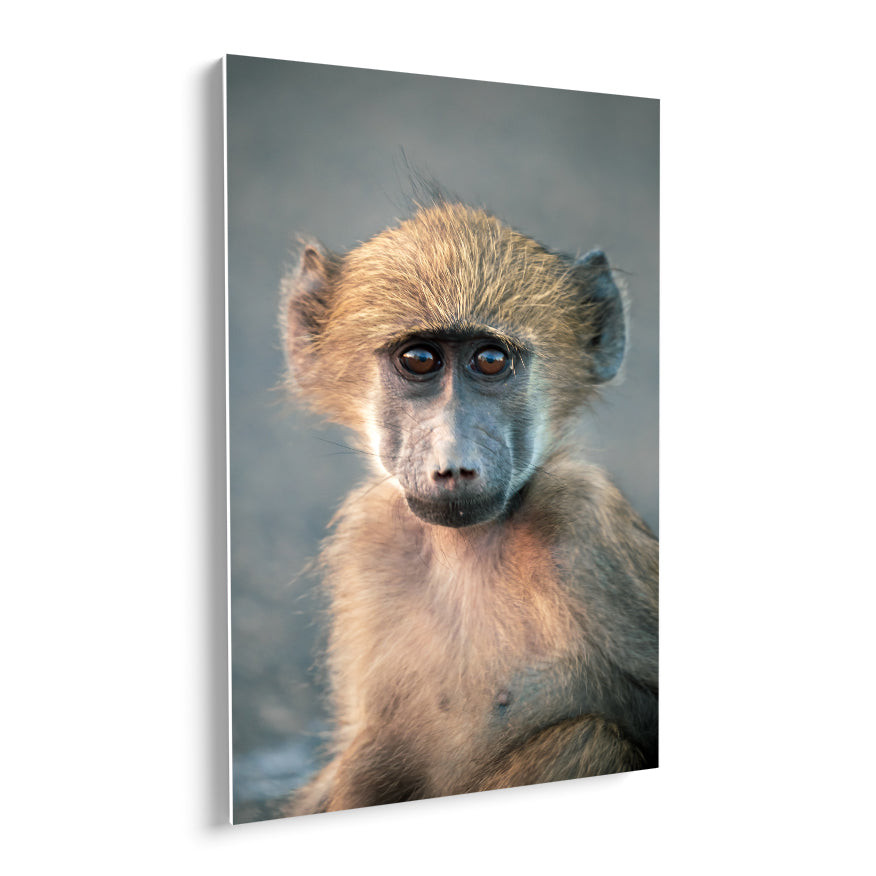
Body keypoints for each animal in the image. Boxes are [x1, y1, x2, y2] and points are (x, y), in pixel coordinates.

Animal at [280, 199, 658, 815]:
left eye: (490, 360)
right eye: (418, 360)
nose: (453, 465)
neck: (463, 549)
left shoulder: (587, 527)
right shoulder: (368, 539)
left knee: (585, 737)